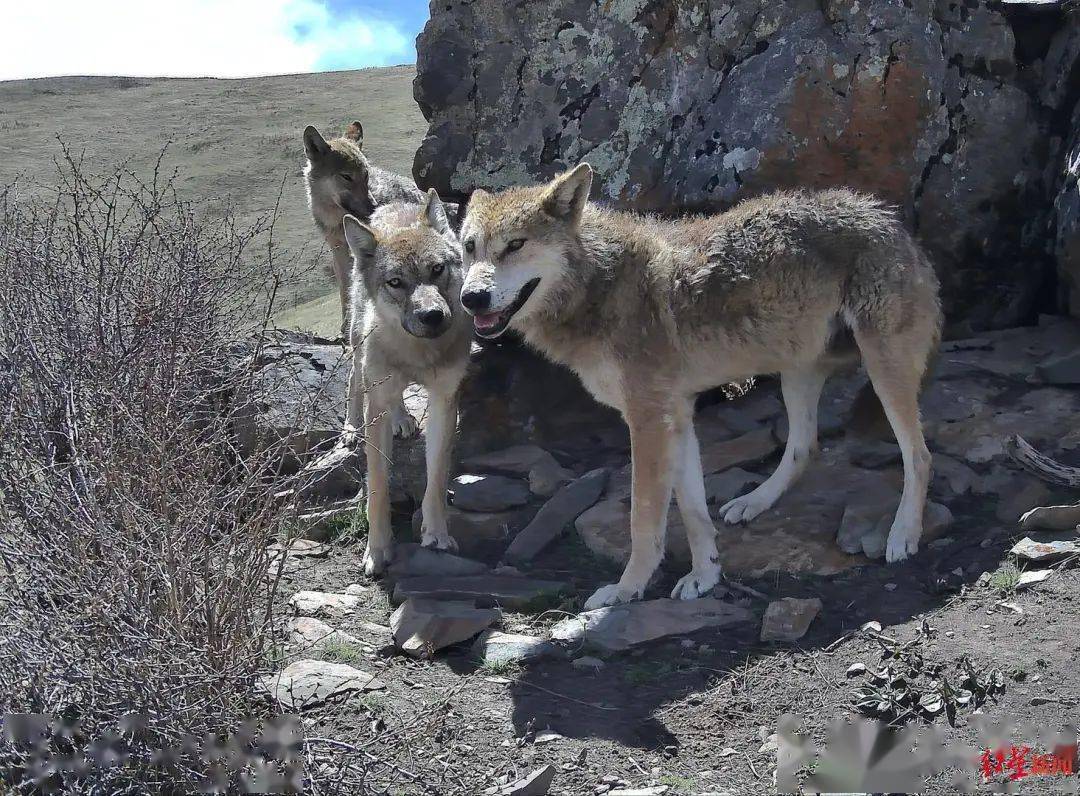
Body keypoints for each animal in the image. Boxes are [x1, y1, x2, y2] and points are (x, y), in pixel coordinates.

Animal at [339, 187, 470, 570]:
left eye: (437, 269)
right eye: (396, 282)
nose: (432, 316)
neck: (418, 354)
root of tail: (394, 206)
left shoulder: (444, 401)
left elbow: (437, 477)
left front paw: (436, 533)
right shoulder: (377, 407)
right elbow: (378, 485)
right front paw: (377, 550)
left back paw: (402, 419)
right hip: (359, 346)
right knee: (354, 379)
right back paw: (350, 427)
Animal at [460, 162, 941, 609]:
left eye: (515, 245)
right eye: (469, 247)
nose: (471, 297)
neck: (601, 285)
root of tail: (891, 221)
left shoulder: (648, 421)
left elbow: (644, 519)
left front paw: (626, 590)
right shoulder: (678, 414)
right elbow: (692, 510)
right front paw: (705, 576)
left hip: (881, 369)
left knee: (919, 456)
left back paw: (902, 534)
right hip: (795, 371)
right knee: (806, 447)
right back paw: (753, 502)